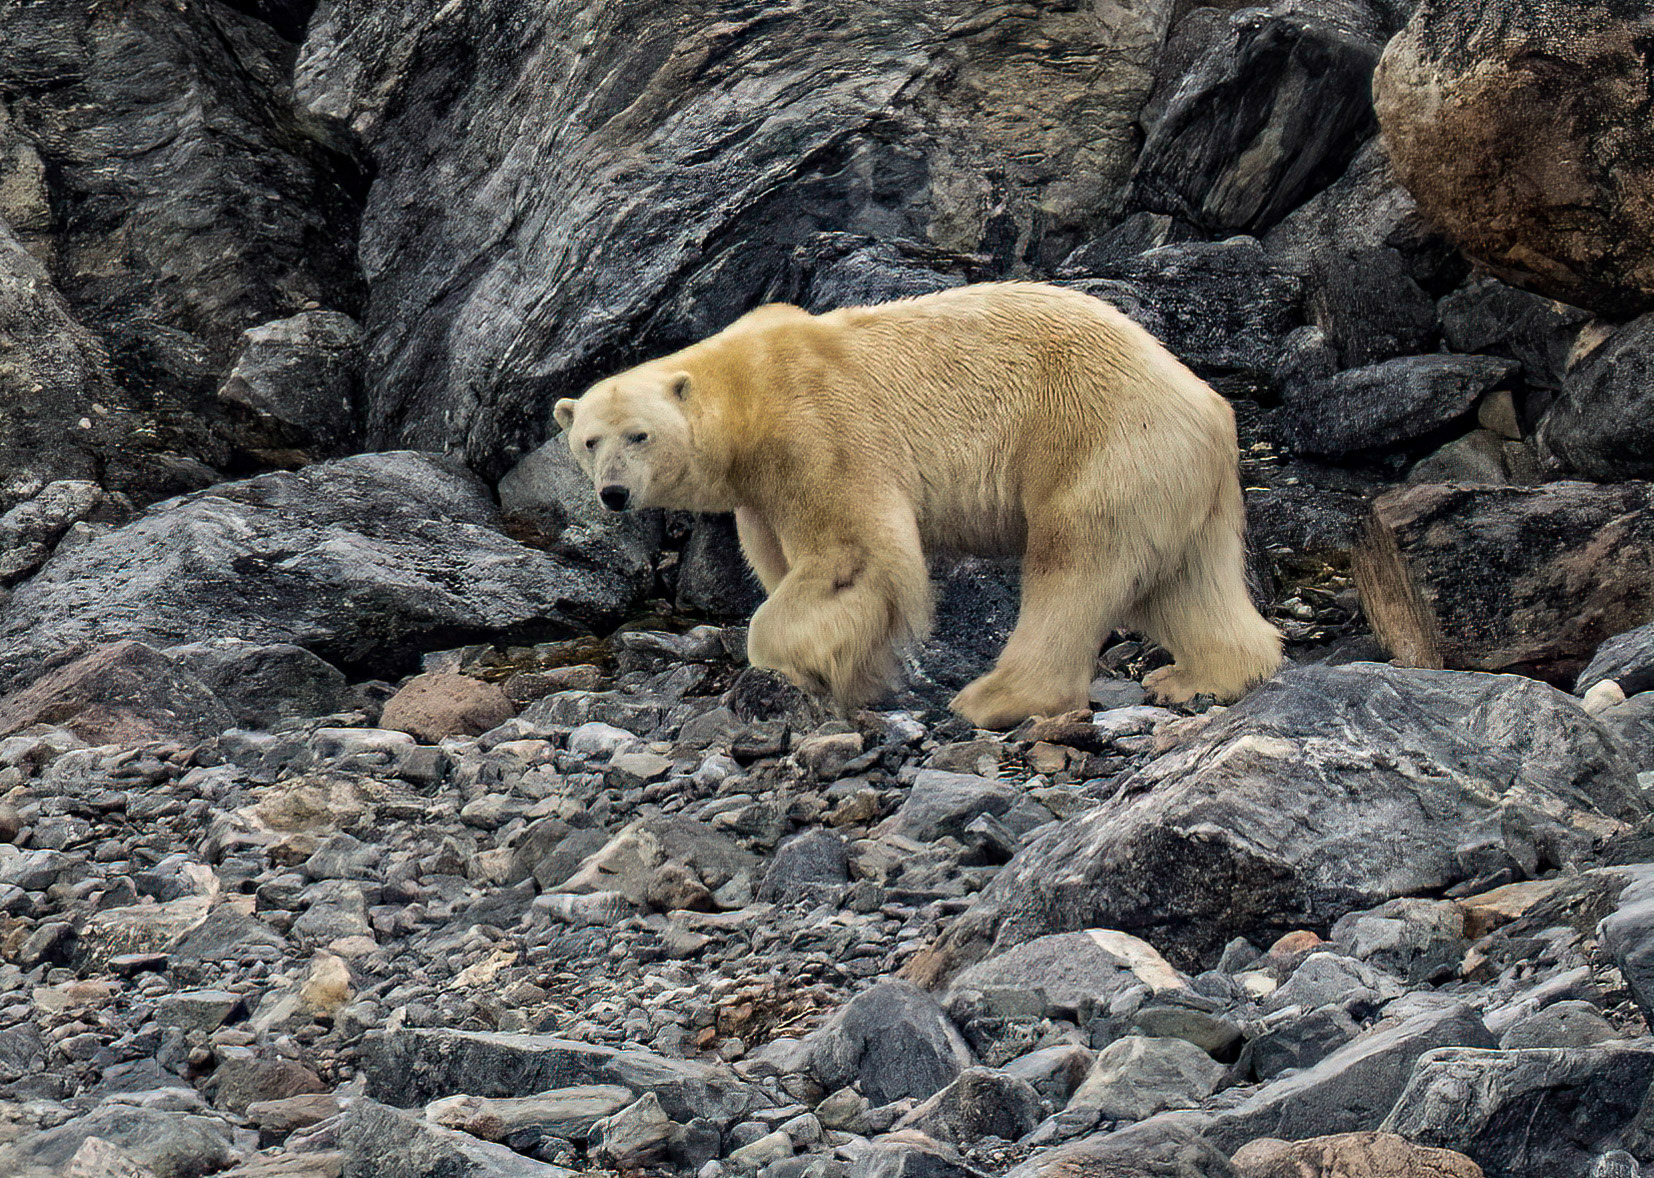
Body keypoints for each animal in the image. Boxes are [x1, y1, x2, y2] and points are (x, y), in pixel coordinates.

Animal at [554, 281, 1282, 728]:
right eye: (589, 440)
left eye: (639, 435)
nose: (613, 493)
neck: (748, 389)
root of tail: (1205, 401)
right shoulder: (758, 491)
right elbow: (785, 560)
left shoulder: (816, 429)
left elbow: (855, 554)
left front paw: (804, 664)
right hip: (1174, 478)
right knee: (1186, 580)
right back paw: (1201, 676)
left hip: (1097, 440)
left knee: (1074, 563)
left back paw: (995, 697)